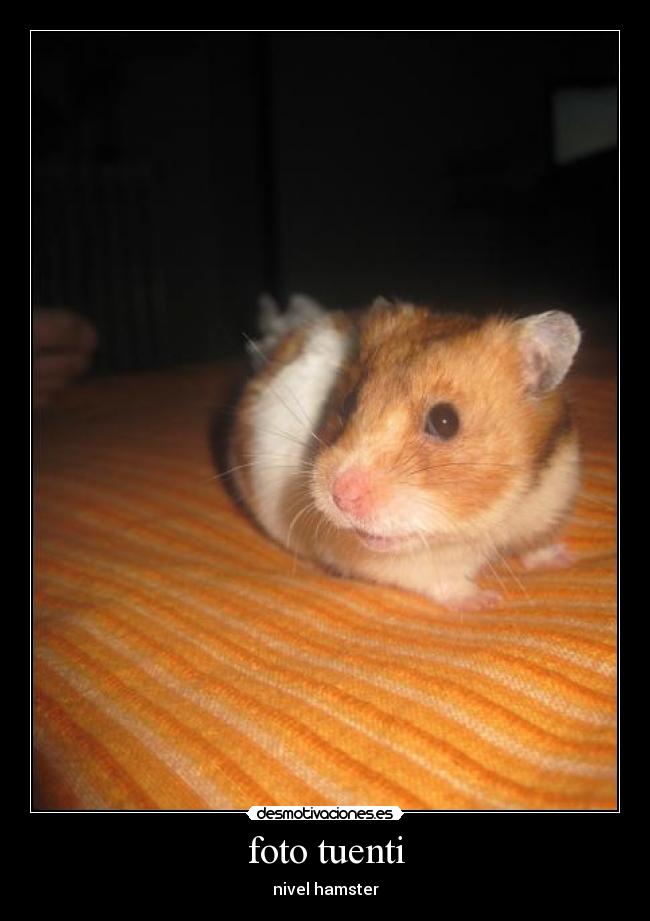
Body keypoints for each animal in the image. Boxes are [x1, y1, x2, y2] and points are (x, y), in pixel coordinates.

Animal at [228, 294, 582, 610]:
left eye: (445, 421)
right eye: (347, 403)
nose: (340, 496)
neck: (492, 514)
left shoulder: (548, 499)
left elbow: (537, 546)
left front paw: (563, 559)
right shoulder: (408, 564)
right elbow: (445, 582)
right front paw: (485, 601)